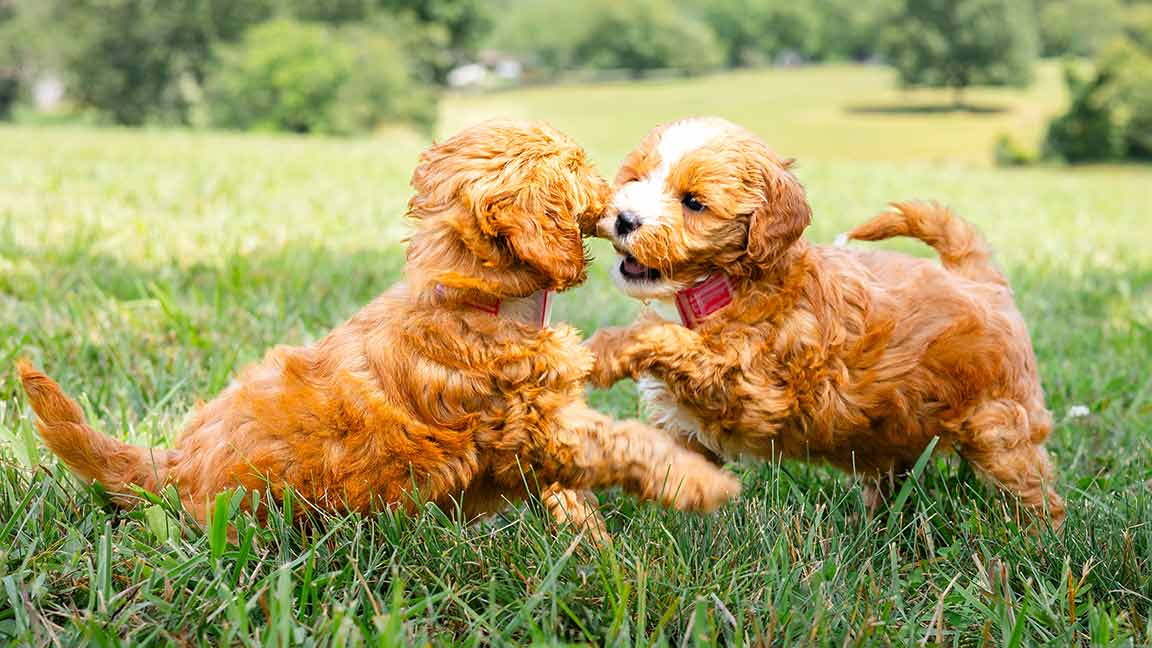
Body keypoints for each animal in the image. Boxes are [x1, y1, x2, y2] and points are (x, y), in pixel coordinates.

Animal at [20, 119, 737, 535]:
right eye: (580, 168)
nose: (626, 206)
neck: (473, 300)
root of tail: (170, 465)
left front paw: (592, 546)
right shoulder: (530, 424)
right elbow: (622, 448)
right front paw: (697, 486)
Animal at [589, 115, 1064, 525]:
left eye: (694, 203)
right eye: (635, 178)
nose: (625, 219)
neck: (727, 285)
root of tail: (981, 280)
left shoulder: (753, 386)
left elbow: (667, 338)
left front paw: (604, 350)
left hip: (999, 421)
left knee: (1033, 487)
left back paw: (1038, 541)